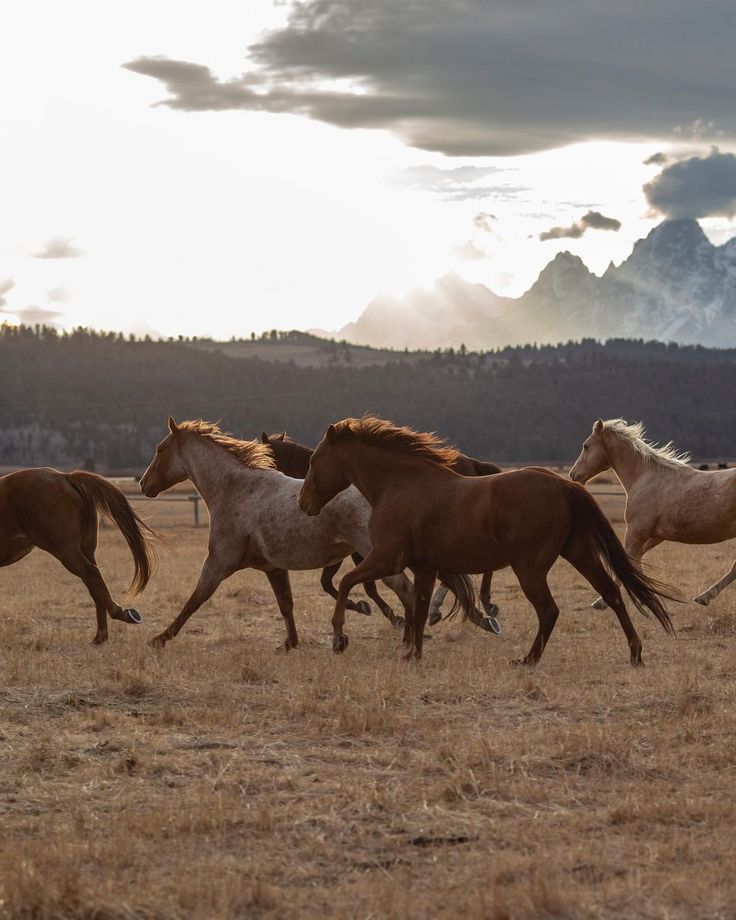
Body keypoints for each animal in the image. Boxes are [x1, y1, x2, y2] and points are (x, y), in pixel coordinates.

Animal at [0, 470, 157, 644]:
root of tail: (65, 477)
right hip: (86, 549)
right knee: (94, 583)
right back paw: (100, 636)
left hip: (66, 551)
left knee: (92, 575)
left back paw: (121, 616)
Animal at [262, 432, 504, 632]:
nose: (302, 502)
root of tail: (473, 464)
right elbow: (335, 584)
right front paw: (364, 607)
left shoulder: (361, 550)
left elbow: (354, 585)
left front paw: (388, 615)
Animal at [298, 418, 672, 668]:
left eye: (315, 461)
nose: (303, 504)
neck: (399, 484)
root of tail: (565, 485)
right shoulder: (424, 568)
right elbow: (419, 610)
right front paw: (413, 653)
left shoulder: (387, 558)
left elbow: (347, 583)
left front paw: (339, 637)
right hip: (580, 553)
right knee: (612, 592)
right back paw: (635, 652)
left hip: (530, 568)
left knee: (549, 610)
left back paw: (528, 659)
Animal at [572, 418, 736, 608]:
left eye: (586, 446)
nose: (573, 474)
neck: (644, 478)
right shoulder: (656, 535)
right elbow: (636, 561)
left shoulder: (636, 532)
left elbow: (627, 562)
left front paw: (602, 601)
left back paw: (704, 597)